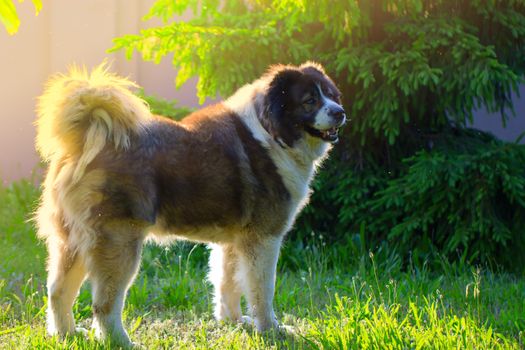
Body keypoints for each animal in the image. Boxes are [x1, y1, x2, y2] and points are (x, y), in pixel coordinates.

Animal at [33, 61, 344, 346]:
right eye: (310, 100)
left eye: (332, 95)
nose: (340, 112)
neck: (271, 133)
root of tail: (87, 139)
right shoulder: (263, 240)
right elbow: (262, 292)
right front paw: (271, 330)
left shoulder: (234, 242)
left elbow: (227, 284)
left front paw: (233, 322)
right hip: (119, 243)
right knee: (104, 304)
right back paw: (121, 342)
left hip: (73, 243)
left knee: (57, 291)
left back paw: (67, 334)